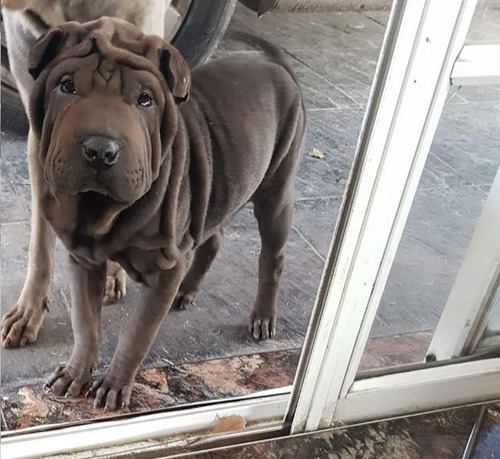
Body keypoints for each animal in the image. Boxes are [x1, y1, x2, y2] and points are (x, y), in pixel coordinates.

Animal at [30, 17, 304, 410]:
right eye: (66, 86)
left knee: (272, 257)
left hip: (275, 193)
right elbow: (85, 323)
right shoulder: (82, 259)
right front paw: (75, 373)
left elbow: (138, 332)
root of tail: (277, 68)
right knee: (212, 239)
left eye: (145, 99)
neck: (102, 211)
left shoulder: (164, 267)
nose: (100, 151)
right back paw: (186, 290)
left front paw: (115, 384)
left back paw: (263, 315)